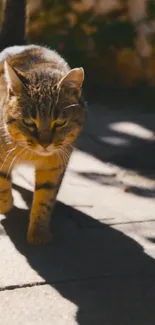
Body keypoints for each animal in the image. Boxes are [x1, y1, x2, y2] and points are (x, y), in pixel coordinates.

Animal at [0, 0, 85, 243]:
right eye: (29, 122)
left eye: (59, 123)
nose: (45, 143)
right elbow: (2, 184)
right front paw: (5, 205)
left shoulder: (55, 165)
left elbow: (46, 198)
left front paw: (38, 232)